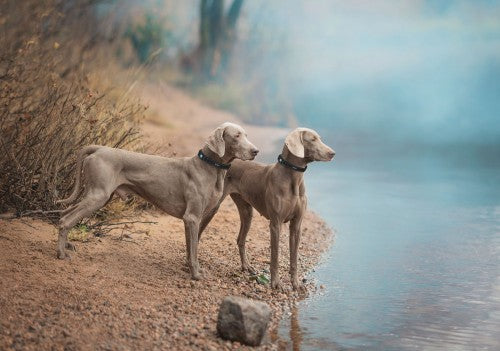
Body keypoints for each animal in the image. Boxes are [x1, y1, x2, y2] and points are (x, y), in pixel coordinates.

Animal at [57, 122, 258, 282]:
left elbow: (190, 248)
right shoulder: (192, 217)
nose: (256, 151)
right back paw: (61, 253)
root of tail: (98, 148)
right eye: (236, 136)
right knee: (66, 220)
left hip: (98, 195)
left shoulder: (192, 220)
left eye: (246, 135)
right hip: (98, 195)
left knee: (64, 214)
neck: (210, 166)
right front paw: (196, 274)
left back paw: (67, 244)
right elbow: (194, 250)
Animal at [198, 128, 332, 290]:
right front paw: (276, 283)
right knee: (198, 231)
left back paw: (246, 266)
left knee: (240, 239)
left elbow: (294, 258)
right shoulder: (275, 224)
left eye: (319, 138)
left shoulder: (297, 225)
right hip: (213, 208)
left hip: (247, 212)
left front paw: (296, 284)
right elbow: (275, 257)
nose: (333, 153)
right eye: (312, 139)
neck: (293, 178)